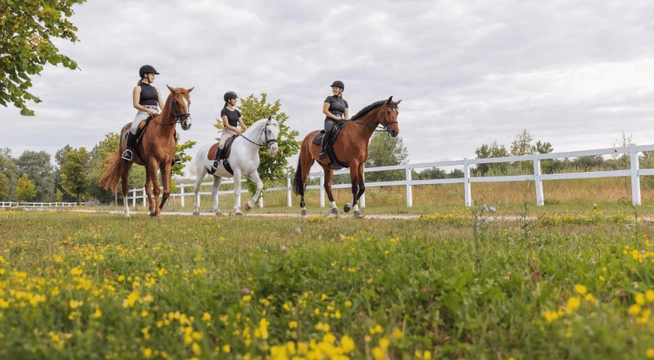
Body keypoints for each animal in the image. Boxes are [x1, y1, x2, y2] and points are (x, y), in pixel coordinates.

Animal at [98, 86, 193, 218]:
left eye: (189, 102)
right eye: (177, 102)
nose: (187, 124)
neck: (163, 132)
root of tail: (124, 129)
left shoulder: (166, 163)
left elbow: (166, 191)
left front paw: (157, 211)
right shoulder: (154, 161)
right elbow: (157, 189)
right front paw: (157, 213)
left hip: (147, 165)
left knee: (147, 187)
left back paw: (151, 209)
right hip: (127, 163)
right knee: (125, 187)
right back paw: (127, 213)